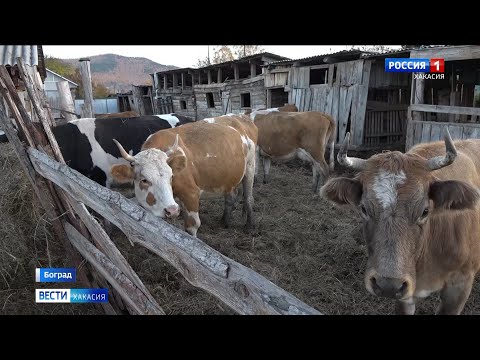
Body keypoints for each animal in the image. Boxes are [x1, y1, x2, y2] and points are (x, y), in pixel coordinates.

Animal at [111, 112, 258, 236]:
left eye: (171, 176)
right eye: (144, 180)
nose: (172, 210)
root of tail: (241, 116)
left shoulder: (191, 193)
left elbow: (192, 226)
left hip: (250, 166)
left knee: (248, 198)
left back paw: (250, 226)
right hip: (229, 177)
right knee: (231, 196)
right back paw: (224, 221)